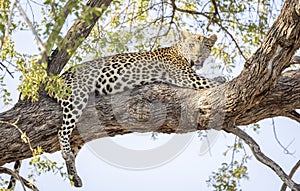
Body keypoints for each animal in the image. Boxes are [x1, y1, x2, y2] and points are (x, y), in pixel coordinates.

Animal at [56, 30, 219, 187]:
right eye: (191, 45)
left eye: (205, 46)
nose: (198, 56)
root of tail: (58, 78)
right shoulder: (187, 77)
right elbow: (212, 83)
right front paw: (222, 79)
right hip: (77, 95)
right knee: (62, 130)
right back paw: (66, 153)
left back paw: (75, 177)